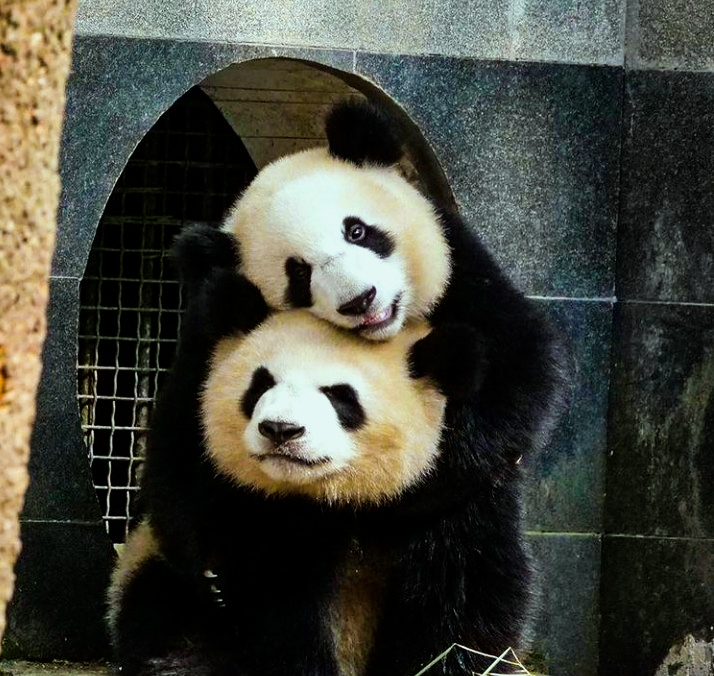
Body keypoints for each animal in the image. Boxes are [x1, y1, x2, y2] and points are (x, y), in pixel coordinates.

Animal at [107, 246, 486, 676]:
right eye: (260, 385)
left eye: (340, 396)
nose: (280, 429)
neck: (338, 499)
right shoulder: (255, 511)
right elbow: (285, 602)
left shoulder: (449, 499)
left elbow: (458, 597)